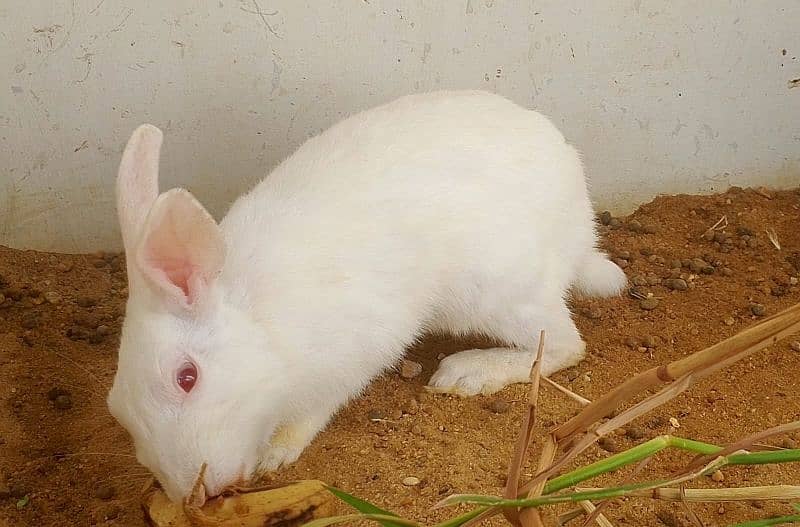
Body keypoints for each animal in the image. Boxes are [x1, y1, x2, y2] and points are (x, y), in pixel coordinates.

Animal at [106, 91, 628, 504]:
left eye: (187, 377)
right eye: (115, 408)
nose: (192, 496)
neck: (259, 329)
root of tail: (580, 232)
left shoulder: (347, 359)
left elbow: (313, 412)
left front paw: (277, 453)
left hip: (499, 292)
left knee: (563, 345)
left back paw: (467, 373)